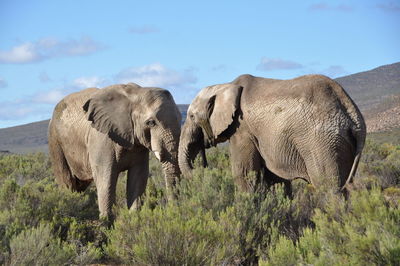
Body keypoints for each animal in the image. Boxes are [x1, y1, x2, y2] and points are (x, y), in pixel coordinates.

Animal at [48, 83, 181, 220]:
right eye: (151, 122)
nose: (172, 212)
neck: (136, 94)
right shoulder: (101, 139)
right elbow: (106, 178)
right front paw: (106, 223)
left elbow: (138, 177)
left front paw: (133, 218)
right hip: (55, 142)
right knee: (68, 183)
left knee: (79, 186)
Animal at [180, 74, 368, 193]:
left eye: (191, 116)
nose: (204, 167)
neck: (225, 86)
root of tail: (352, 112)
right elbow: (274, 179)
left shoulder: (242, 130)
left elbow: (244, 174)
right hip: (340, 142)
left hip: (323, 141)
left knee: (328, 186)